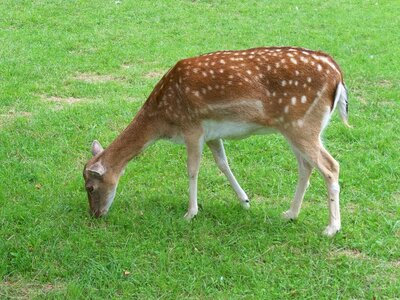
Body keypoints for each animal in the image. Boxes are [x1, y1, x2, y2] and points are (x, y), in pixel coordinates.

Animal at [83, 46, 348, 237]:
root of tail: (338, 75)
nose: (95, 214)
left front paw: (190, 213)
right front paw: (245, 201)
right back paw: (290, 213)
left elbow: (192, 169)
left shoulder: (192, 128)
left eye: (90, 187)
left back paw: (331, 228)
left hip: (302, 125)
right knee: (306, 166)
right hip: (295, 128)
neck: (163, 119)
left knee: (331, 166)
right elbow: (223, 163)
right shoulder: (212, 134)